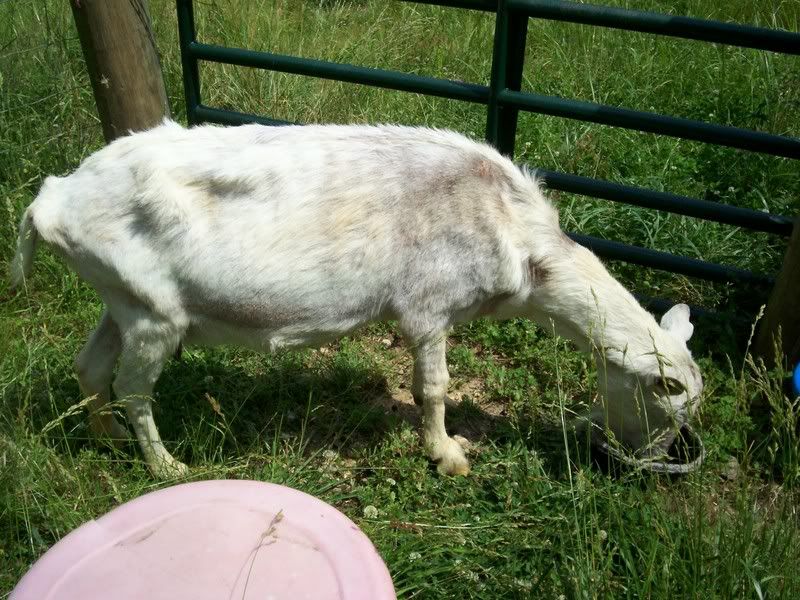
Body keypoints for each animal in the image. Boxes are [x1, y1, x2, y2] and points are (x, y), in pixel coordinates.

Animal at [10, 121, 703, 478]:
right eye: (666, 406)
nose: (654, 461)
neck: (519, 236)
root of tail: (51, 199)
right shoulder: (429, 307)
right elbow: (434, 388)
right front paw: (448, 454)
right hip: (154, 313)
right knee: (132, 387)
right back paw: (164, 466)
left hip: (119, 298)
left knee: (90, 367)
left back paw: (104, 438)